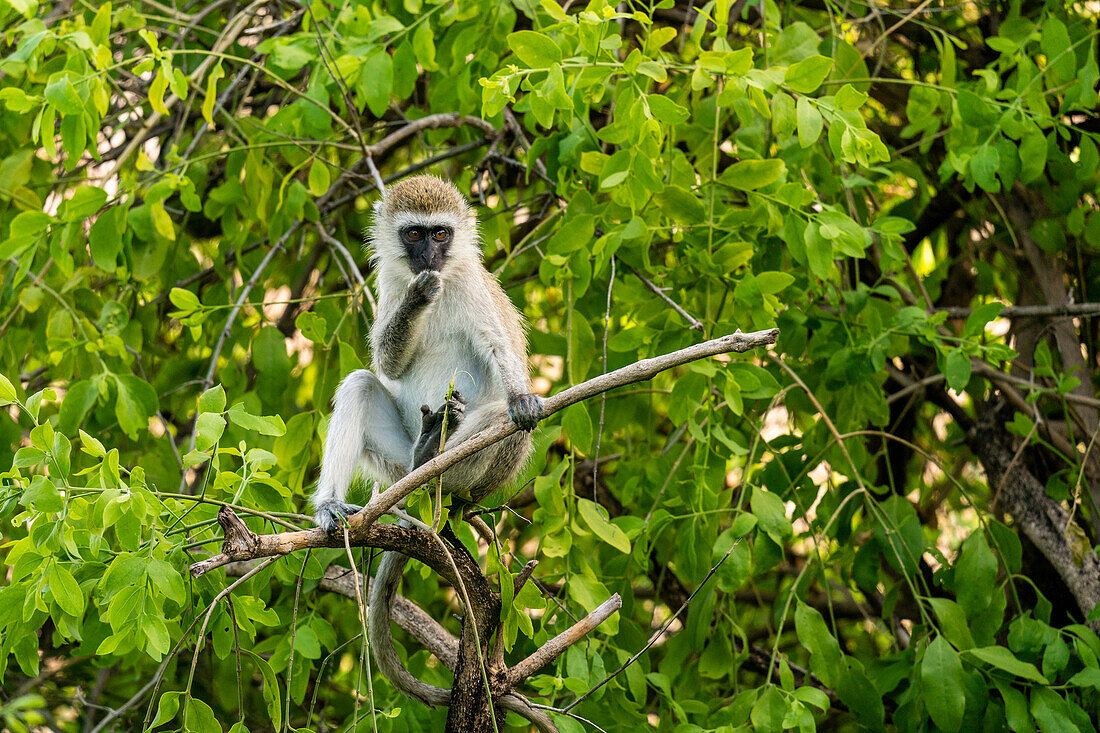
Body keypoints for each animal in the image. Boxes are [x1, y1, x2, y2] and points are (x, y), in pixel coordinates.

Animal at [312, 176, 543, 704]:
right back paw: (347, 499)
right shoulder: (388, 283)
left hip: (470, 476)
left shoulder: (473, 289)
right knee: (360, 384)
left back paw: (436, 463)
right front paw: (419, 298)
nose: (429, 260)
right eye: (414, 234)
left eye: (441, 234)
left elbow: (497, 347)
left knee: (495, 418)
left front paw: (522, 396)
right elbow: (387, 364)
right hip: (390, 463)